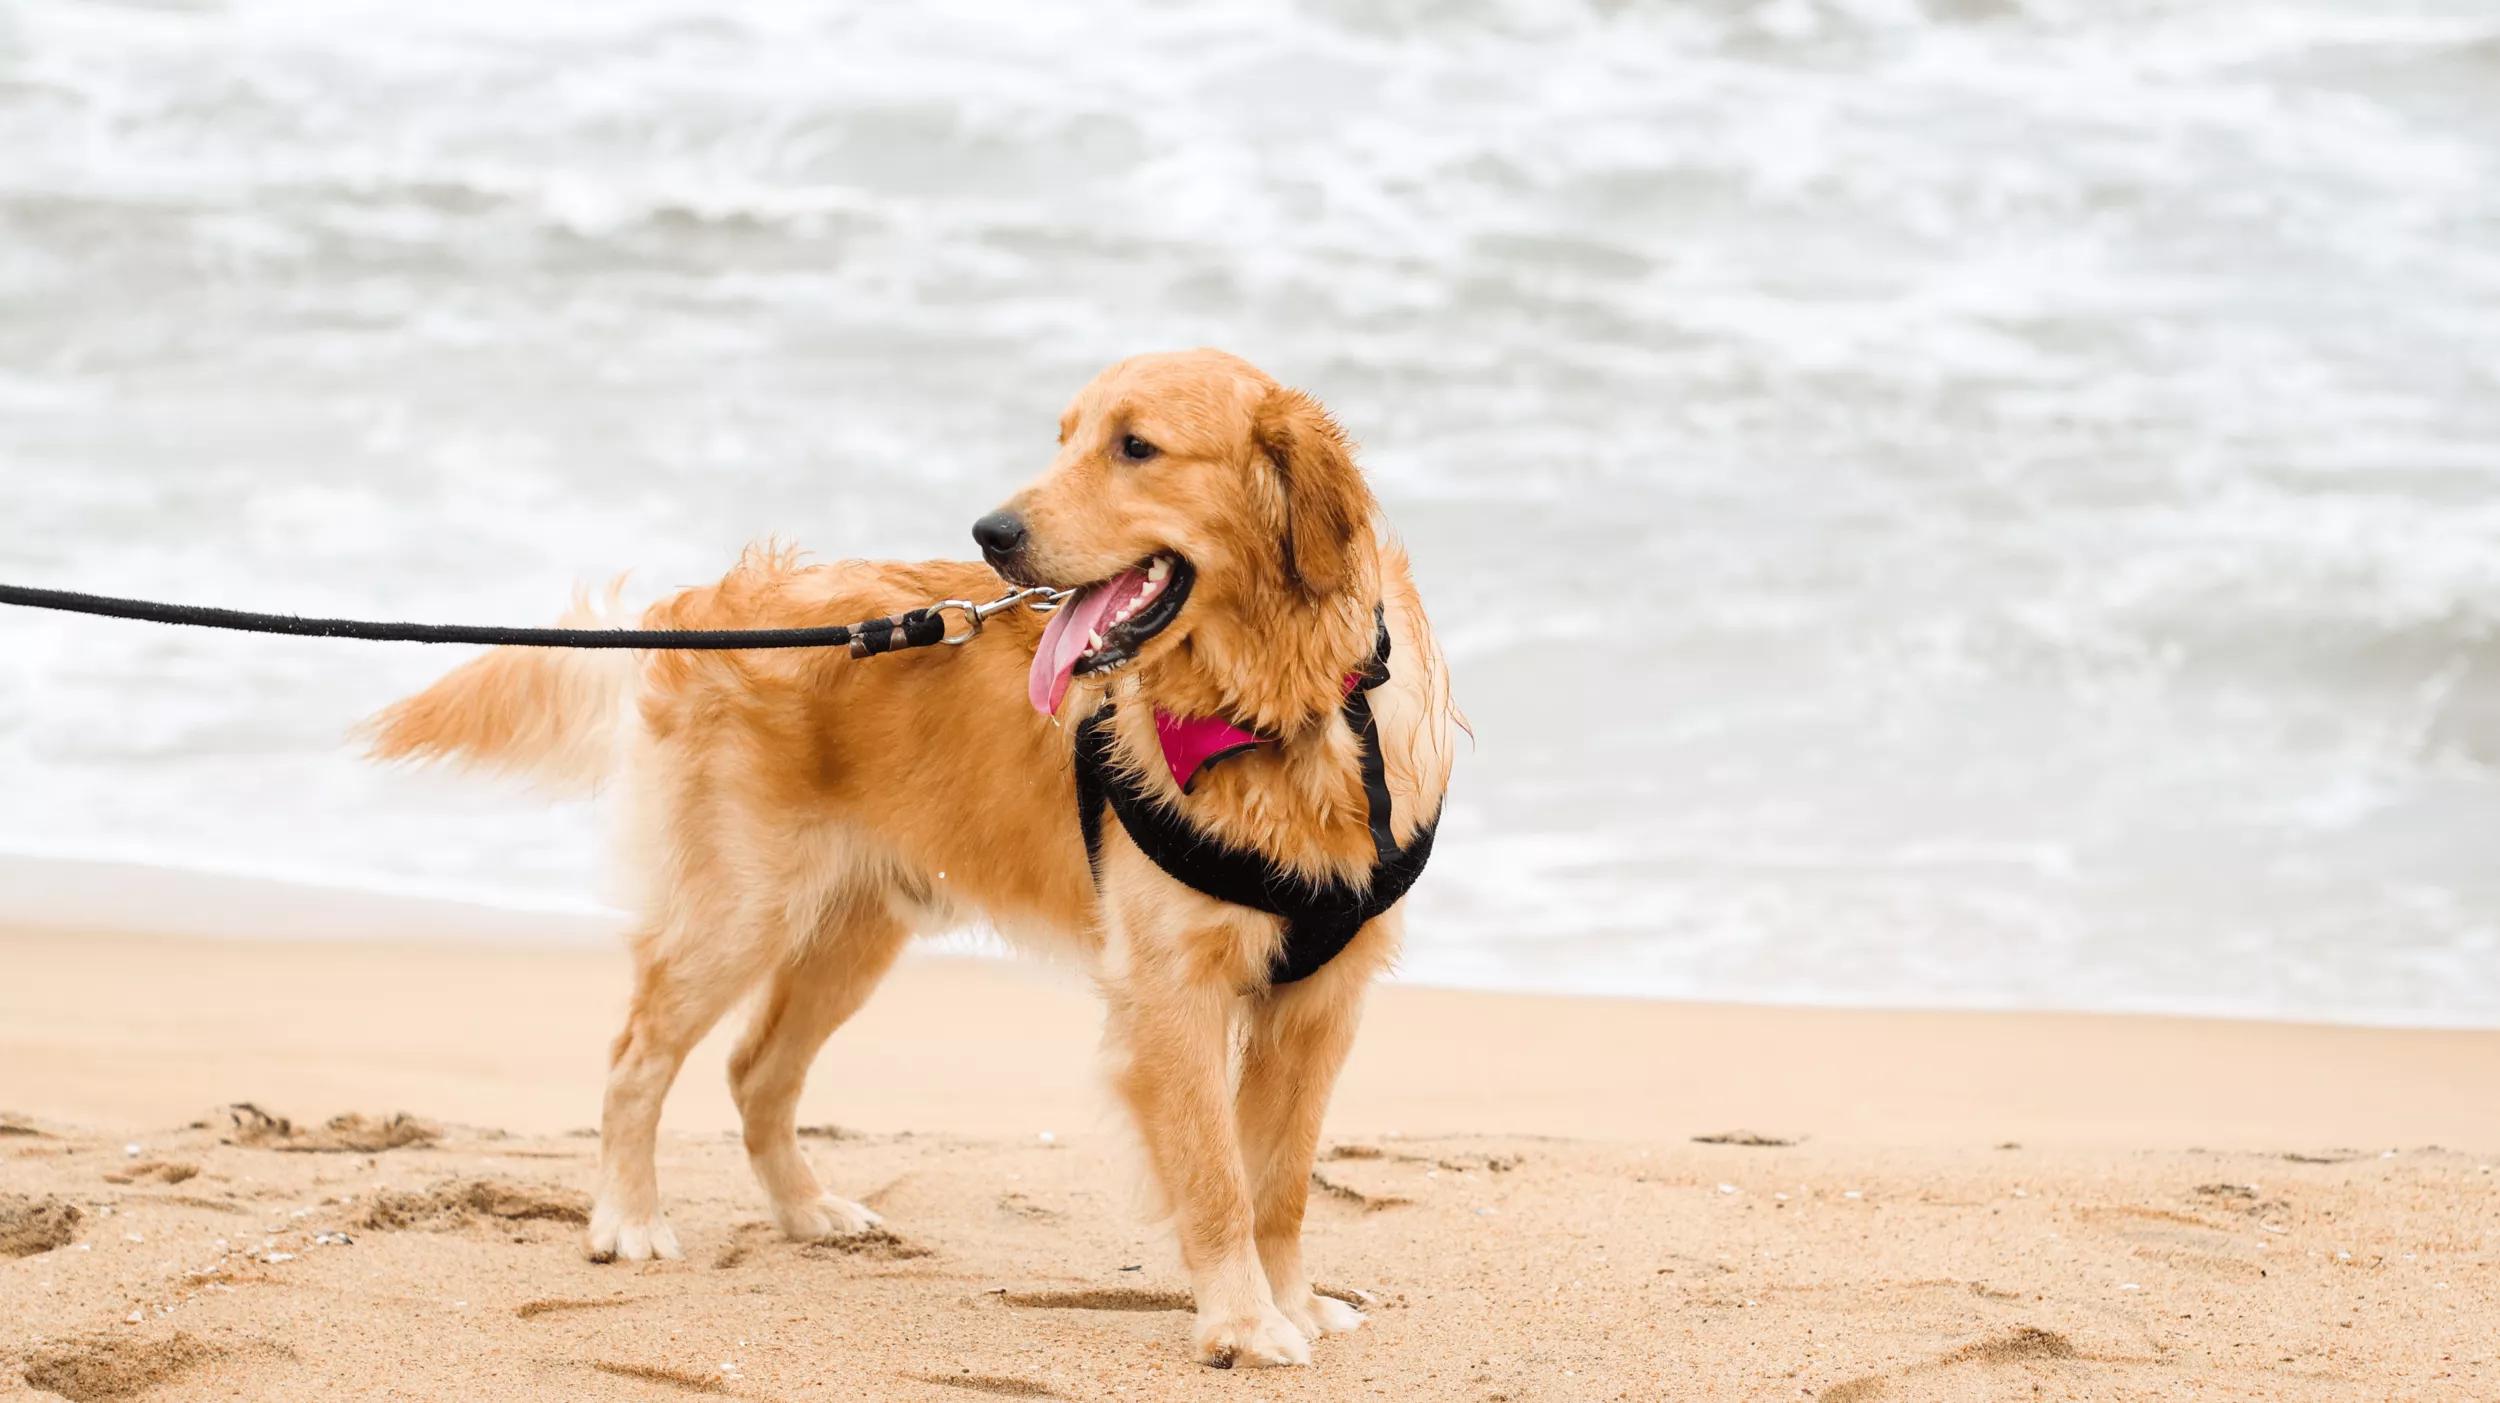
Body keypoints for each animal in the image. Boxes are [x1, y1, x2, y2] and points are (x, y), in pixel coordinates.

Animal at [372, 345, 1460, 1360]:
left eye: (1135, 446)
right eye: (1063, 437)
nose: (991, 533)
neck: (1273, 712)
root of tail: (709, 602)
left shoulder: (1320, 1002)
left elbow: (1280, 1181)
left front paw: (1292, 1303)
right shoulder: (1170, 991)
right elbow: (1216, 1176)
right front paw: (1240, 1324)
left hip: (855, 932)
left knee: (755, 1068)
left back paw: (807, 1209)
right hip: (738, 910)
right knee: (637, 1057)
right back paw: (630, 1218)